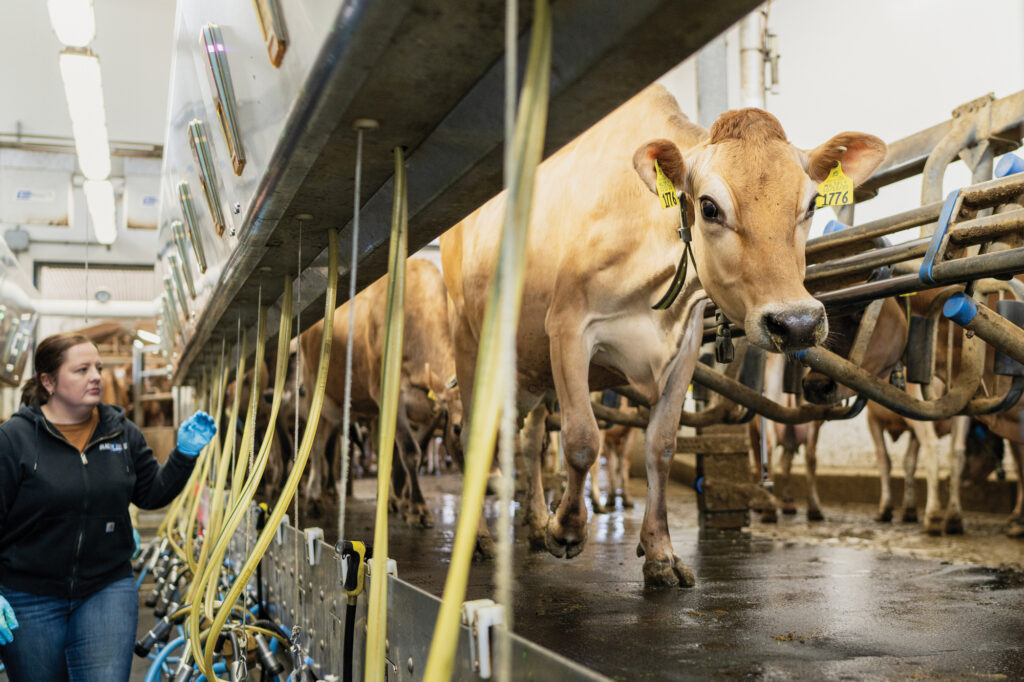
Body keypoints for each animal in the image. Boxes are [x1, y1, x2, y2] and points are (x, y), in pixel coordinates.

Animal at [440, 83, 888, 585]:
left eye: (810, 205)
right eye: (709, 207)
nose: (797, 323)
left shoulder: (684, 348)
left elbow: (662, 446)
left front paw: (659, 552)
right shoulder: (567, 327)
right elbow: (581, 440)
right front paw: (568, 529)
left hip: (531, 368)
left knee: (528, 440)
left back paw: (535, 524)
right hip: (469, 341)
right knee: (474, 436)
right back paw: (482, 538)